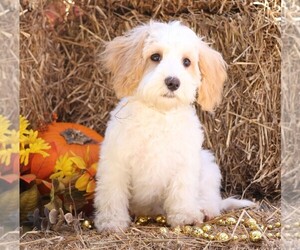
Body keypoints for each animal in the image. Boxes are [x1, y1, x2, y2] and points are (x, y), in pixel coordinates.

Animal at [95, 20, 254, 231]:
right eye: (155, 57)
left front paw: (185, 216)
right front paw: (111, 221)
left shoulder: (185, 162)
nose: (173, 82)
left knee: (210, 198)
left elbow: (182, 189)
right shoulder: (116, 161)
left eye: (186, 62)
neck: (160, 113)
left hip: (208, 167)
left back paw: (204, 209)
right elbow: (112, 192)